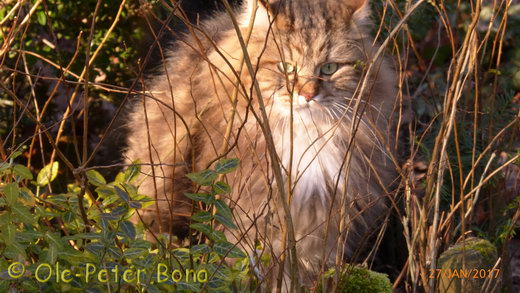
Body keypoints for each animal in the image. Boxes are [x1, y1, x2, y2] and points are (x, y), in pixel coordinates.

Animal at [124, 0, 400, 288]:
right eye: (286, 67)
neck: (302, 138)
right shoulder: (245, 223)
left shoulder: (319, 232)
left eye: (329, 68)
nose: (308, 95)